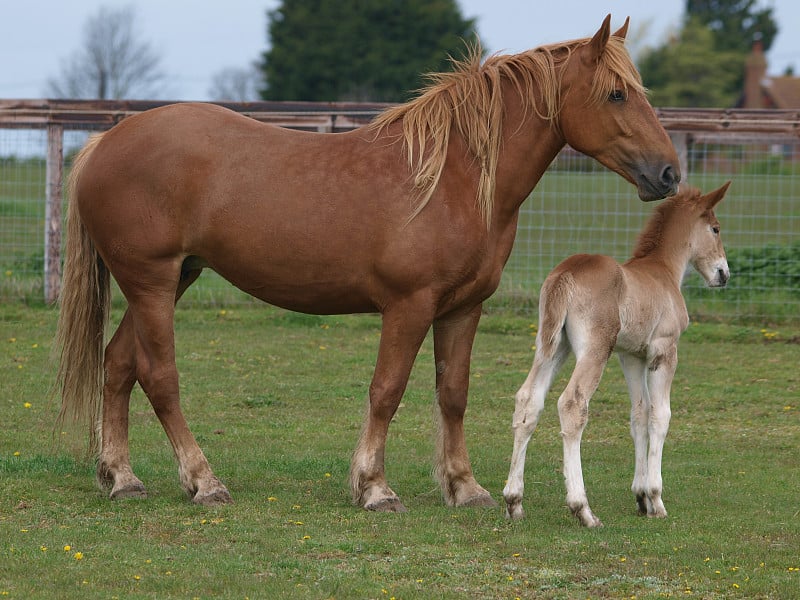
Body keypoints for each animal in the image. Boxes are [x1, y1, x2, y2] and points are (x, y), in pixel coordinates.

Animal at [57, 16, 680, 508]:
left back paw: (122, 478)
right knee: (159, 377)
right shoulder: (409, 306)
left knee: (118, 364)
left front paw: (464, 487)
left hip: (173, 279)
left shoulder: (463, 309)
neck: (453, 177)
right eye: (617, 94)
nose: (670, 173)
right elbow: (388, 389)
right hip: (152, 283)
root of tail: (105, 143)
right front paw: (374, 487)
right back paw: (203, 481)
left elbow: (453, 393)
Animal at [506, 183, 732, 524]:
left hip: (553, 347)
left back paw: (514, 501)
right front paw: (656, 499)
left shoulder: (631, 356)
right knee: (572, 404)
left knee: (528, 400)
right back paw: (583, 509)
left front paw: (641, 498)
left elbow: (639, 414)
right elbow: (660, 415)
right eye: (716, 228)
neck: (663, 271)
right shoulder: (664, 351)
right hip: (594, 349)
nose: (723, 274)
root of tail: (565, 274)